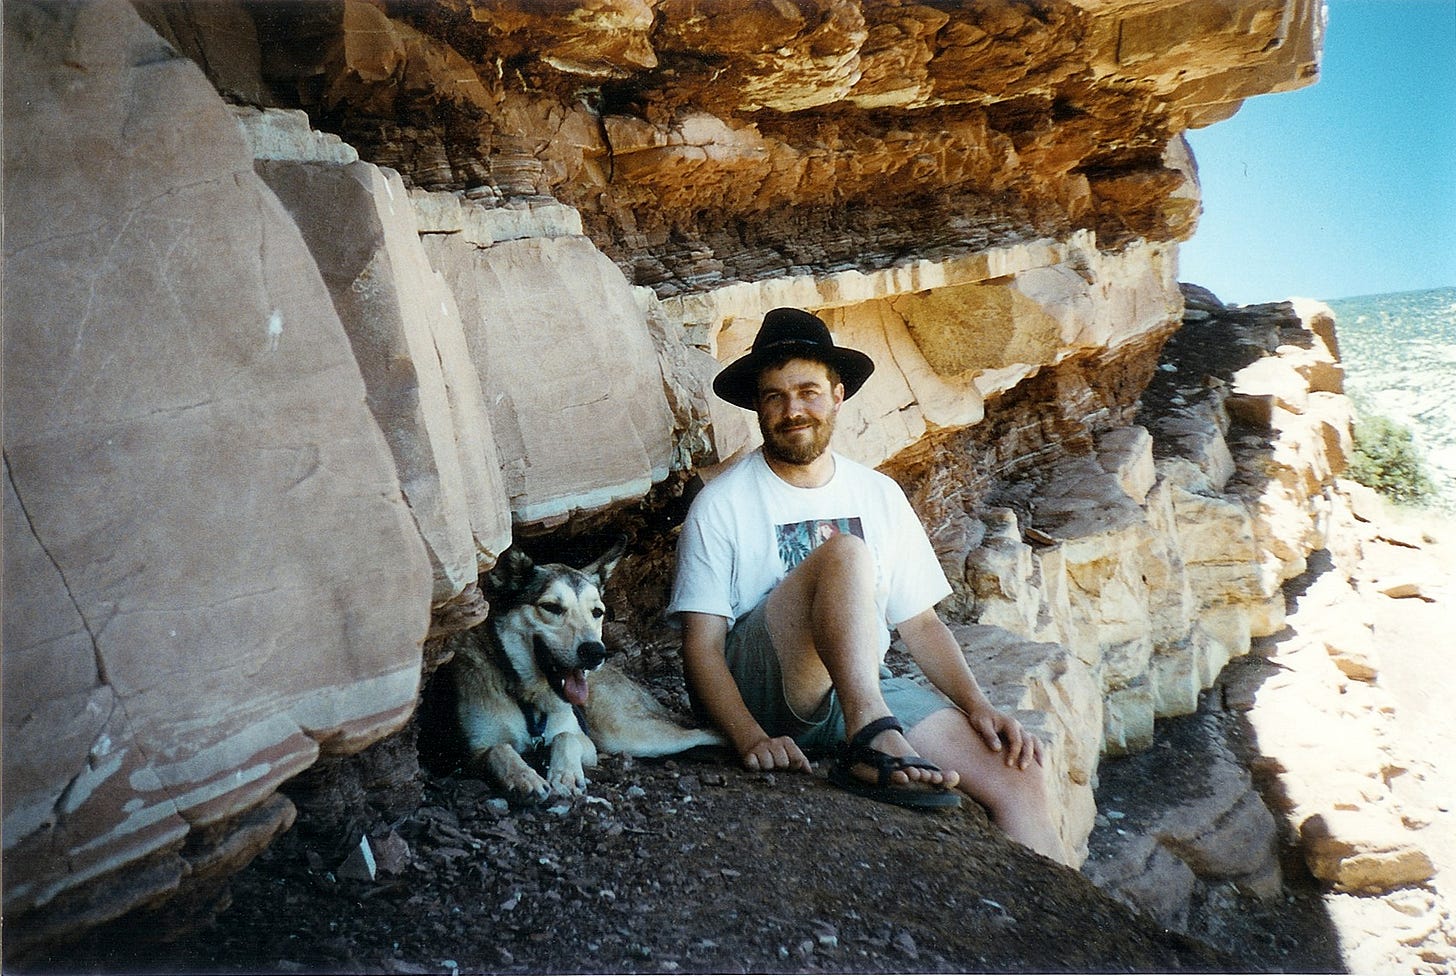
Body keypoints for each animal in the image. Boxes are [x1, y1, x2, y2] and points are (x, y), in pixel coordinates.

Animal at [445, 541, 725, 804]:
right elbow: (499, 749)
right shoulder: (471, 754)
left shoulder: (586, 743)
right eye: (551, 607)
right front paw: (523, 777)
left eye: (597, 612)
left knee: (704, 732)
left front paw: (565, 775)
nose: (595, 652)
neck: (530, 700)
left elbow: (565, 737)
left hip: (626, 733)